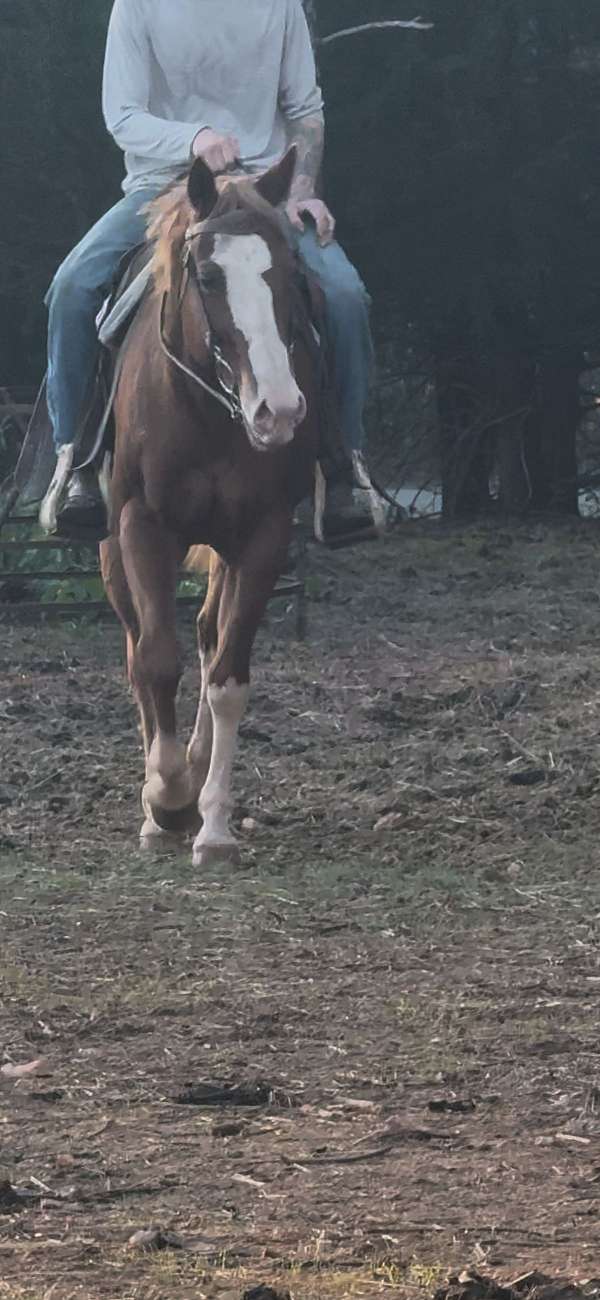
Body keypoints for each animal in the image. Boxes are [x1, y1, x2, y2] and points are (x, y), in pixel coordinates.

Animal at [98, 149, 320, 863]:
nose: (278, 410)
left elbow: (226, 675)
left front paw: (212, 821)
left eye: (290, 270)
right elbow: (156, 662)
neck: (205, 410)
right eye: (208, 274)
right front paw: (163, 800)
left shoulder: (263, 536)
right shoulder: (142, 527)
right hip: (111, 551)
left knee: (204, 632)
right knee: (139, 649)